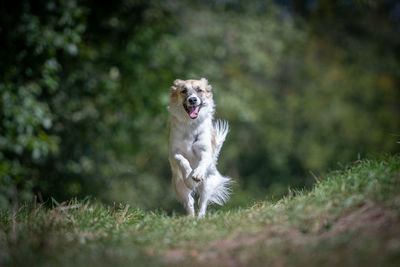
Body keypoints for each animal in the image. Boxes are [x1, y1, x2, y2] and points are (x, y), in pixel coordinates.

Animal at [168, 77, 231, 218]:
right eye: (183, 91)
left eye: (199, 90)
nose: (192, 99)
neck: (190, 125)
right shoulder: (174, 153)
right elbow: (183, 161)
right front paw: (189, 177)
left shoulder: (205, 151)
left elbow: (202, 162)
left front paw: (196, 174)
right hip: (179, 185)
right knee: (189, 202)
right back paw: (191, 217)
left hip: (207, 184)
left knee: (202, 202)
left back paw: (200, 217)